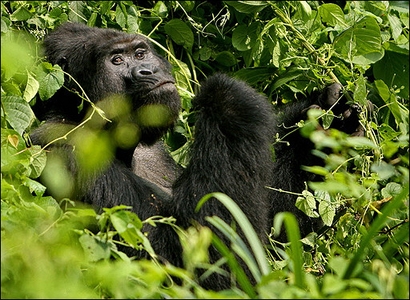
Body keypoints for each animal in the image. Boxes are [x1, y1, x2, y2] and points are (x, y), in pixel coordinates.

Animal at [31, 22, 366, 290]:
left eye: (139, 54)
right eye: (116, 60)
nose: (148, 71)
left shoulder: (153, 150)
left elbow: (278, 237)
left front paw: (322, 127)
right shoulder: (65, 149)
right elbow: (196, 262)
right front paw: (226, 96)